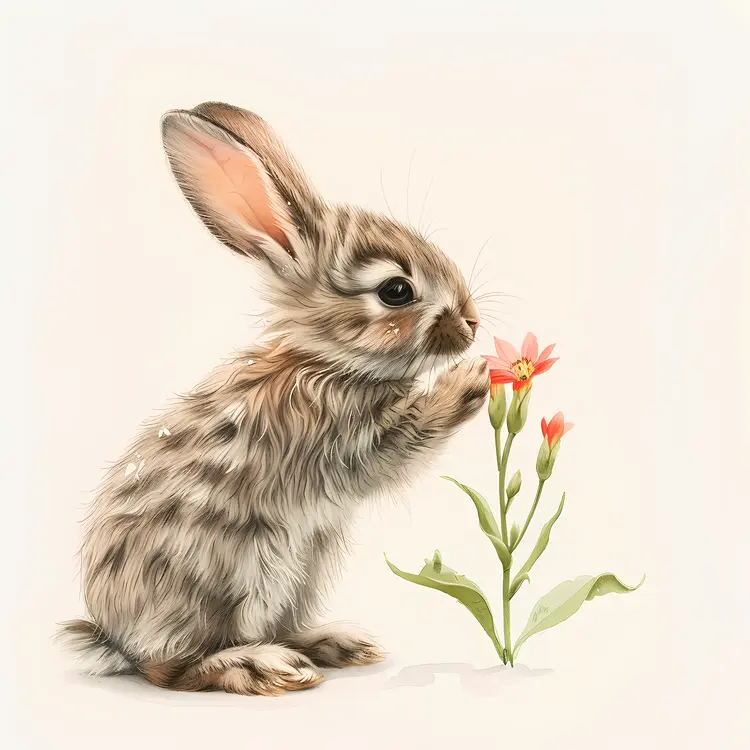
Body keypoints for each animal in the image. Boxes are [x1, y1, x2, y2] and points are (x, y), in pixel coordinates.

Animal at [58, 101, 489, 696]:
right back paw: (261, 665)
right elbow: (397, 446)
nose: (472, 325)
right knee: (170, 669)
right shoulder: (342, 439)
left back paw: (337, 644)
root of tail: (113, 637)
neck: (327, 361)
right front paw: (469, 380)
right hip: (237, 572)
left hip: (306, 568)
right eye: (395, 291)